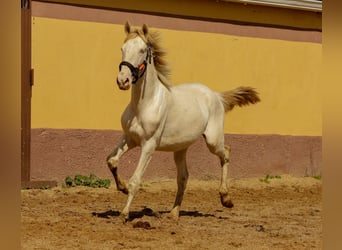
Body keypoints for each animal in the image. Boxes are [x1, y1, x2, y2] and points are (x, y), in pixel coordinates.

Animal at [107, 22, 260, 222]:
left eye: (142, 50)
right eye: (122, 48)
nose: (123, 81)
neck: (144, 105)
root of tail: (216, 96)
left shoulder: (149, 145)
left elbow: (136, 180)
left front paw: (124, 214)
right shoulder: (130, 138)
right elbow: (111, 161)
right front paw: (122, 188)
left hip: (212, 140)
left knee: (226, 152)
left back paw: (226, 199)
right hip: (180, 148)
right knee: (183, 177)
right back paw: (174, 213)